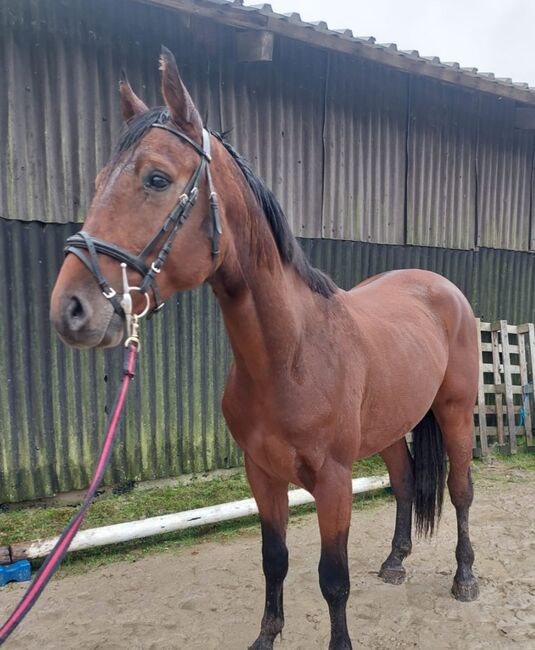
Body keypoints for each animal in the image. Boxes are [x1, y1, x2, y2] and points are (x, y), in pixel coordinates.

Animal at [52, 46, 482, 648]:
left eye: (157, 178)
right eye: (97, 181)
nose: (71, 308)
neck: (289, 357)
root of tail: (441, 288)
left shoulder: (332, 482)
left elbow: (333, 578)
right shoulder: (262, 474)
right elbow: (274, 559)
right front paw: (266, 635)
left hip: (454, 412)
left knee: (461, 489)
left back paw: (465, 576)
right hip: (391, 425)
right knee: (402, 482)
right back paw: (396, 561)